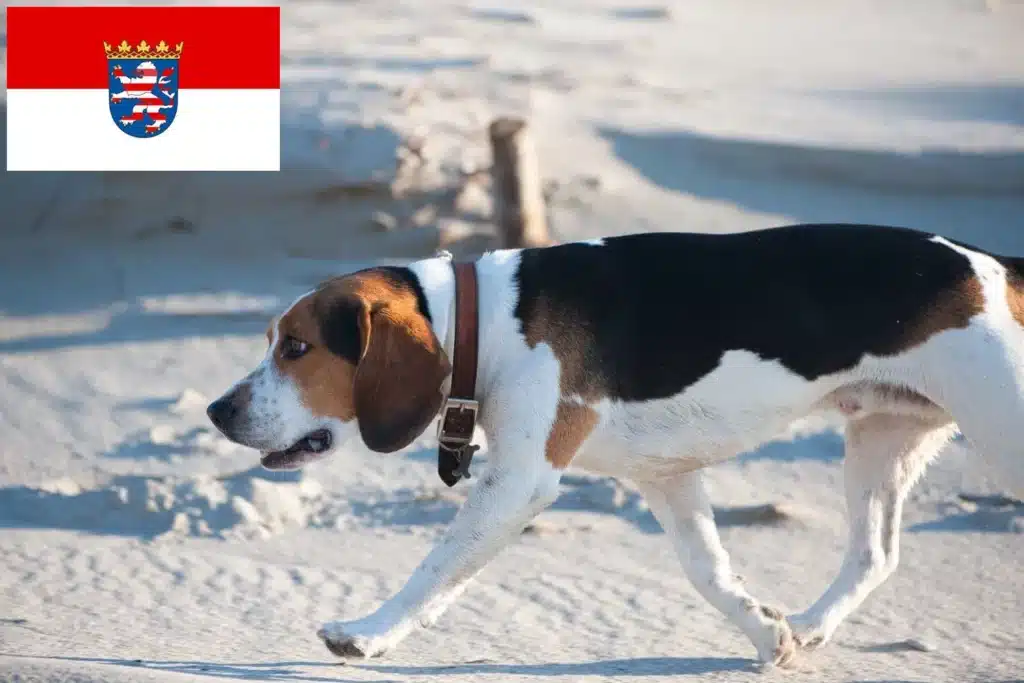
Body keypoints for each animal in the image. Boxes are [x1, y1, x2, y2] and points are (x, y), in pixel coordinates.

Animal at [207, 224, 1024, 667]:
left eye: (298, 347)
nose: (218, 410)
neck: (483, 319)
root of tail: (994, 265)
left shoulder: (520, 484)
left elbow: (433, 570)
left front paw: (367, 634)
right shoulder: (667, 475)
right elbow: (709, 572)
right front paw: (766, 636)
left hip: (997, 418)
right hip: (882, 438)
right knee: (874, 554)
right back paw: (810, 625)